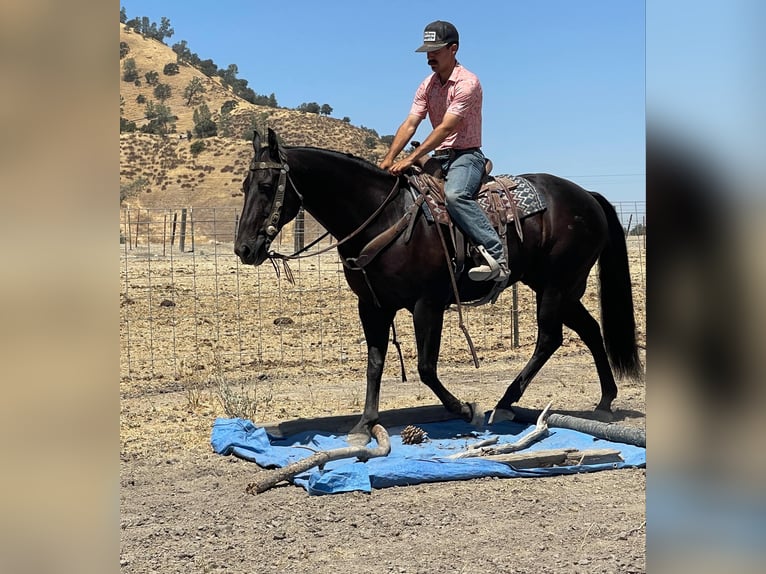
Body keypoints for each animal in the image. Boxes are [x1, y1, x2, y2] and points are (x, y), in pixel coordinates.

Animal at [235, 128, 642, 442]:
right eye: (244, 185)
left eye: (268, 185)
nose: (244, 248)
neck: (383, 216)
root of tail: (589, 197)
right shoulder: (372, 305)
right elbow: (375, 363)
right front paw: (365, 424)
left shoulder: (427, 304)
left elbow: (426, 368)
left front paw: (464, 408)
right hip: (555, 287)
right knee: (589, 330)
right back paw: (605, 401)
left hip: (557, 286)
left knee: (549, 339)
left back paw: (504, 403)